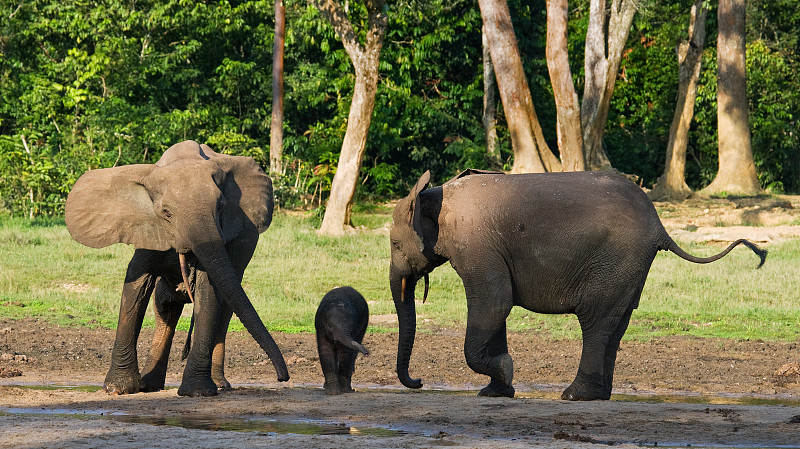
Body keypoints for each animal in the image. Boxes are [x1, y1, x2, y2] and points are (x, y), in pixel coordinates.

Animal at [65, 139, 290, 396]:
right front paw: (118, 389)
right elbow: (136, 287)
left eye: (221, 206)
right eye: (166, 213)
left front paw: (198, 392)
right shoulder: (147, 230)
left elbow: (208, 291)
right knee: (165, 305)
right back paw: (149, 386)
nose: (282, 378)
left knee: (226, 306)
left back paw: (218, 384)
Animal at [390, 168, 768, 400]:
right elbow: (497, 311)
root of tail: (660, 226)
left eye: (394, 244)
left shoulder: (478, 247)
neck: (434, 194)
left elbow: (495, 302)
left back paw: (574, 395)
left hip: (615, 260)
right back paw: (596, 395)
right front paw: (496, 391)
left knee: (595, 321)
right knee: (615, 324)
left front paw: (506, 373)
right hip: (629, 268)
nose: (419, 382)